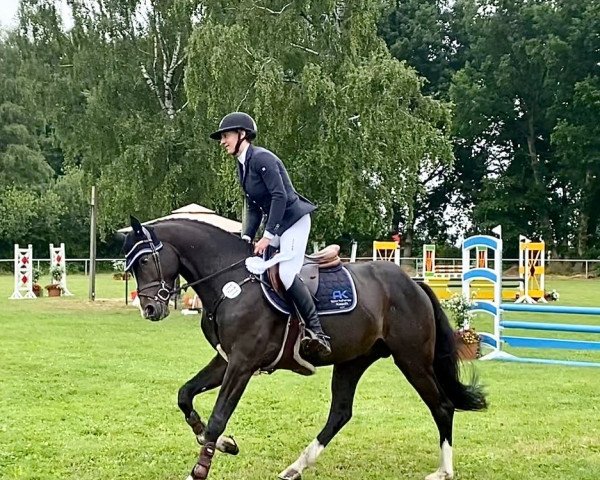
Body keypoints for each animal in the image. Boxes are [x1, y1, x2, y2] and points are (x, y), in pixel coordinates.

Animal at [124, 218, 486, 480]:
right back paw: (295, 467)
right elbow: (185, 395)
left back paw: (444, 471)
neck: (232, 282)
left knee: (442, 406)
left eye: (146, 260)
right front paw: (223, 445)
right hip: (353, 360)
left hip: (412, 360)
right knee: (340, 413)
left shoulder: (242, 364)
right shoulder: (226, 359)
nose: (150, 309)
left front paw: (199, 469)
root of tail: (413, 283)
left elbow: (218, 418)